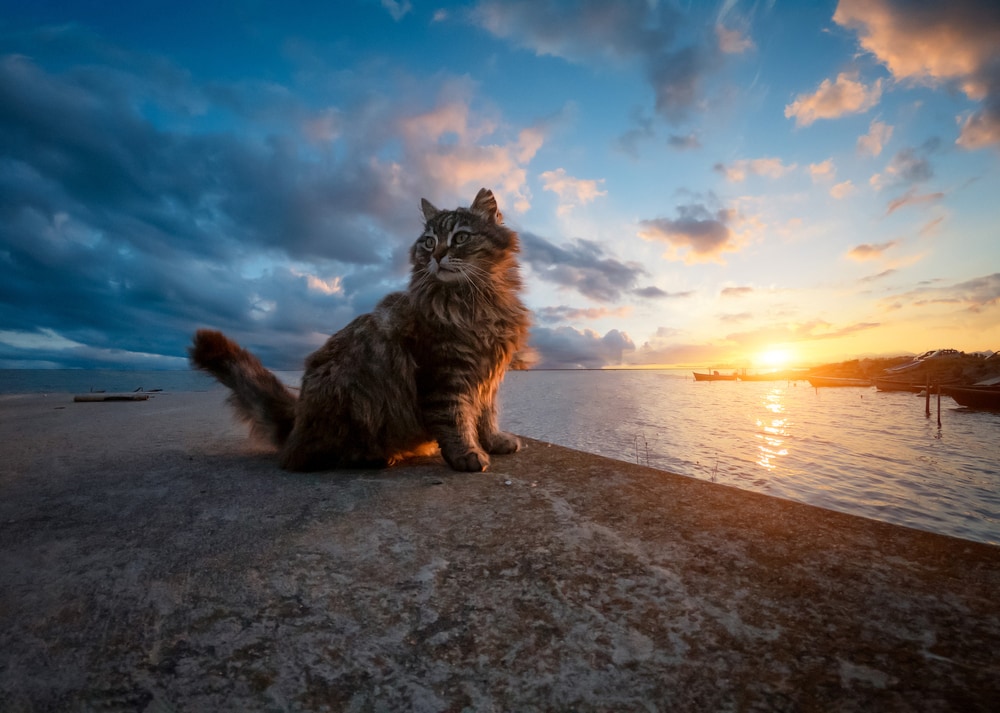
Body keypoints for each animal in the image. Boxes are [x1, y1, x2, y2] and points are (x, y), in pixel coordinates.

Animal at [188, 186, 532, 470]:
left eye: (460, 237)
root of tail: (297, 422)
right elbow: (455, 418)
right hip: (350, 396)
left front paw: (493, 441)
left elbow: (485, 414)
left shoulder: (487, 374)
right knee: (314, 457)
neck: (477, 298)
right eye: (429, 242)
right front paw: (466, 454)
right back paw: (376, 457)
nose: (436, 256)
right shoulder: (445, 372)